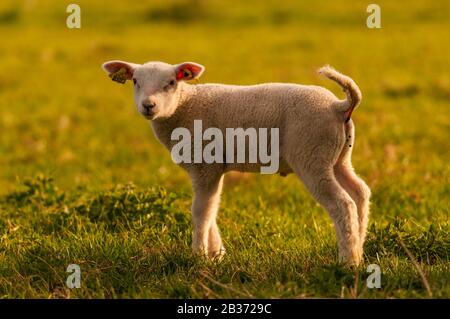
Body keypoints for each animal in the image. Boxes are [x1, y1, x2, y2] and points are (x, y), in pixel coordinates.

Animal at [103, 60, 372, 268]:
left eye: (171, 82)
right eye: (135, 81)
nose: (148, 105)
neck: (183, 106)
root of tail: (339, 106)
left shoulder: (204, 165)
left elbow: (201, 211)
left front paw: (198, 256)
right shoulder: (213, 168)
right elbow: (212, 208)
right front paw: (217, 255)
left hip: (312, 155)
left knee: (342, 203)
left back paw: (347, 262)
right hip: (338, 157)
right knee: (359, 192)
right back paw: (359, 250)